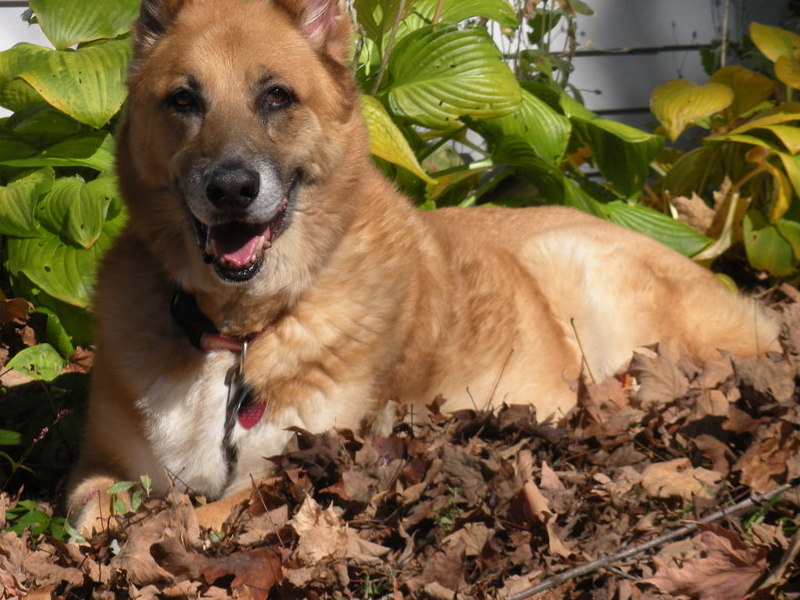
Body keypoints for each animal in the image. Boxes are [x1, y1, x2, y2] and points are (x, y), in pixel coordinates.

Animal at [65, 0, 780, 536]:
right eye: (184, 101)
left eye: (276, 98)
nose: (232, 189)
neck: (237, 334)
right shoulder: (99, 467)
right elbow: (88, 514)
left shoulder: (278, 475)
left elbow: (194, 518)